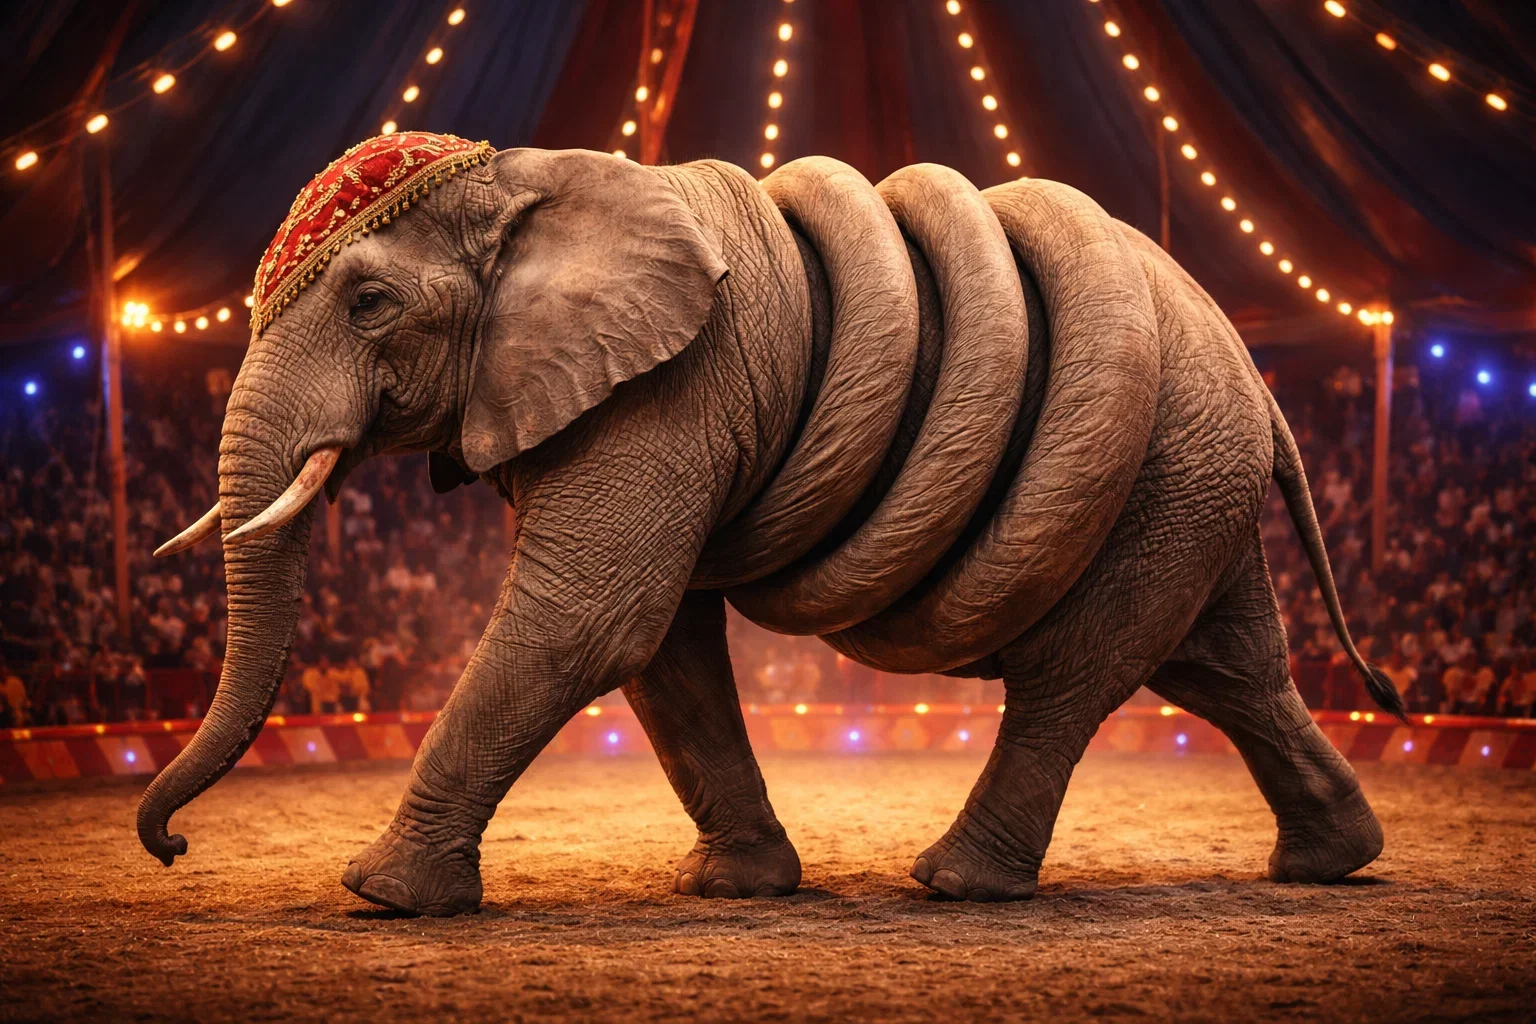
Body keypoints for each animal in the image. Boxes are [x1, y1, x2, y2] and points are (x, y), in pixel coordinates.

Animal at [142, 133, 1404, 915]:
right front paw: (732, 890)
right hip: (1192, 480)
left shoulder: (675, 385)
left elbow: (590, 620)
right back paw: (1332, 865)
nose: (173, 846)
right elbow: (662, 646)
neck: (534, 179)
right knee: (1223, 669)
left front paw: (380, 898)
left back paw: (953, 886)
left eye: (369, 303)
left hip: (1168, 466)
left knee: (1075, 679)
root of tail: (1259, 383)